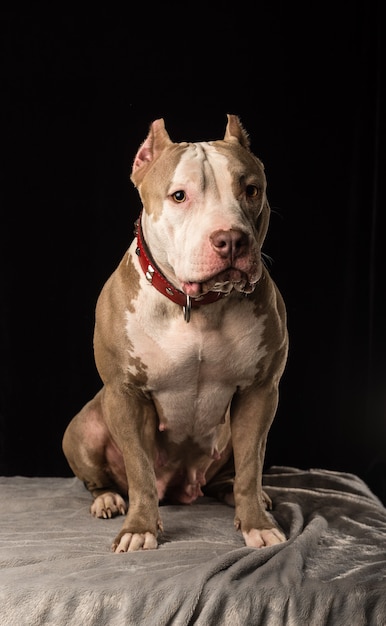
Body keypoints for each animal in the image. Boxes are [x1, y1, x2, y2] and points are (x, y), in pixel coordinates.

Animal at [61, 116, 288, 552]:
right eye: (179, 196)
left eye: (251, 190)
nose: (231, 239)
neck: (196, 308)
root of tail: (182, 489)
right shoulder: (125, 395)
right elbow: (140, 470)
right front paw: (139, 528)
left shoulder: (260, 392)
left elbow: (252, 466)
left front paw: (256, 522)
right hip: (83, 427)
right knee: (99, 479)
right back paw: (108, 499)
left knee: (233, 474)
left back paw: (246, 494)